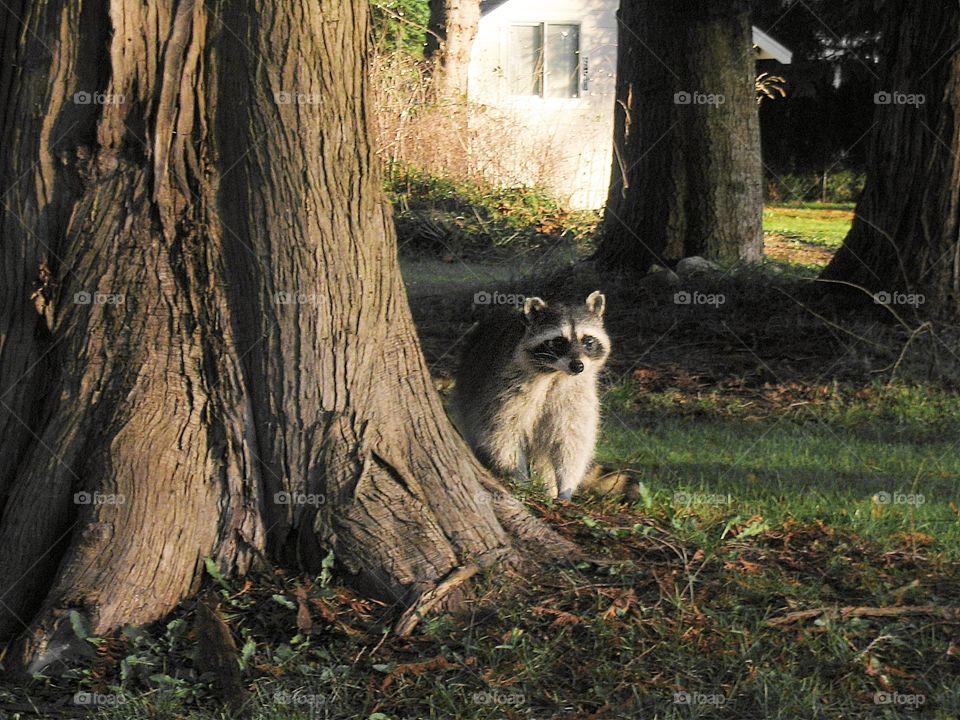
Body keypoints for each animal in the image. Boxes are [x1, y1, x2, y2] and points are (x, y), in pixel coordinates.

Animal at [454, 290, 612, 498]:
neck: (556, 374)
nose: (577, 366)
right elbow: (503, 434)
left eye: (588, 340)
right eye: (558, 342)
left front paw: (566, 487)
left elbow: (572, 440)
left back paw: (548, 487)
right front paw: (519, 477)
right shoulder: (505, 390)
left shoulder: (577, 393)